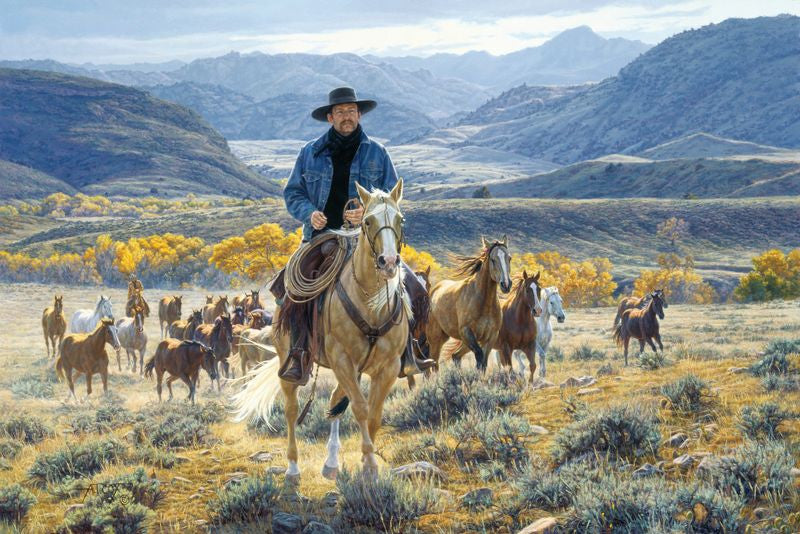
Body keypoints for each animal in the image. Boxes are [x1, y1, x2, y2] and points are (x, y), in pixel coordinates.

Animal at [230, 179, 406, 482]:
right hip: (290, 361)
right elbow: (360, 408)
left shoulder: (389, 367)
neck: (371, 304)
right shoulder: (342, 360)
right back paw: (292, 468)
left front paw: (366, 464)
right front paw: (370, 463)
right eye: (367, 221)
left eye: (400, 219)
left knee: (335, 402)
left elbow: (373, 414)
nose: (389, 262)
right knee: (292, 410)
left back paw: (331, 462)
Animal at [424, 237, 512, 374]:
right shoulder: (467, 332)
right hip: (435, 338)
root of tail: (434, 290)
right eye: (493, 259)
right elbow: (479, 356)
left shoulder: (491, 336)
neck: (484, 304)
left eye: (509, 258)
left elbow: (483, 362)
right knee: (433, 363)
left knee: (455, 356)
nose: (506, 285)